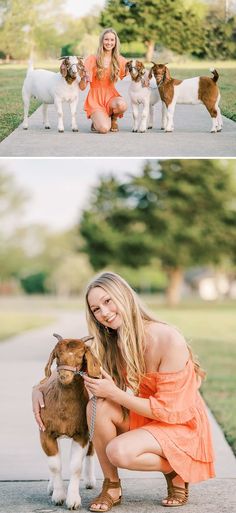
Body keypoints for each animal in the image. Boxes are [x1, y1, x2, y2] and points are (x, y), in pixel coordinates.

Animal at [38, 336, 100, 508]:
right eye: (57, 355)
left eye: (80, 355)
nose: (64, 376)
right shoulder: (46, 433)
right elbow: (54, 465)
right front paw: (58, 496)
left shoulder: (82, 433)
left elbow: (76, 466)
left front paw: (73, 500)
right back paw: (51, 486)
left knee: (91, 451)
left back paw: (90, 481)